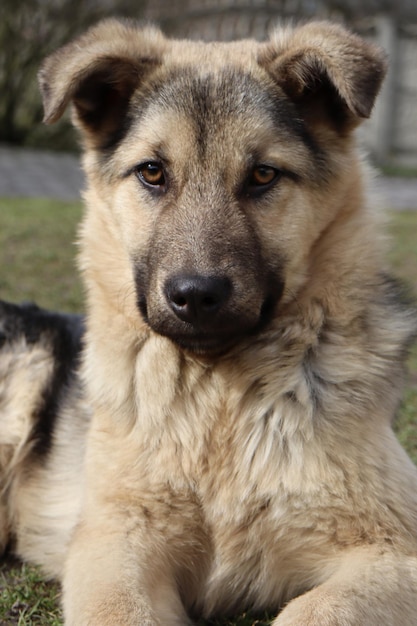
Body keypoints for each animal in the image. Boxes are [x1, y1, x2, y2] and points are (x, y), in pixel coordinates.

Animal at [0, 18, 416, 624]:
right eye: (152, 172)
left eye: (263, 174)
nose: (195, 296)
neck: (217, 398)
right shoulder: (113, 541)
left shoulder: (392, 548)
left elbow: (315, 610)